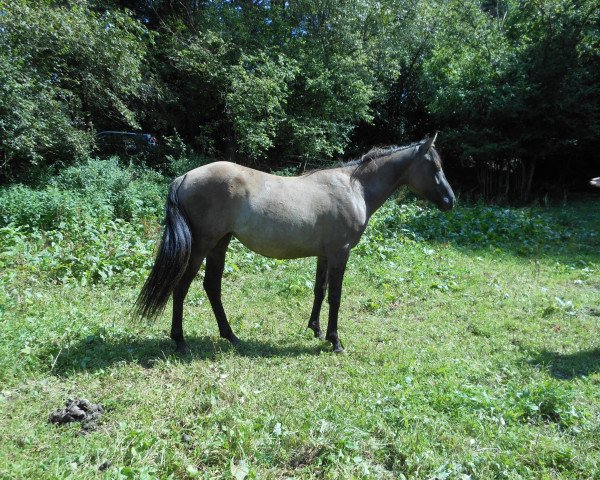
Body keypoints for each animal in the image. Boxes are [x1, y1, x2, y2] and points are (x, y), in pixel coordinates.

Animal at [135, 135, 454, 352]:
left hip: (219, 244)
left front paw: (316, 330)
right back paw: (180, 341)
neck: (354, 188)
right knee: (182, 286)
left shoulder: (324, 255)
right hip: (202, 246)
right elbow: (335, 296)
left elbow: (319, 291)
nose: (451, 200)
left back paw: (231, 335)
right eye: (434, 166)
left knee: (212, 286)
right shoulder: (340, 254)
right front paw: (335, 341)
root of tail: (184, 177)